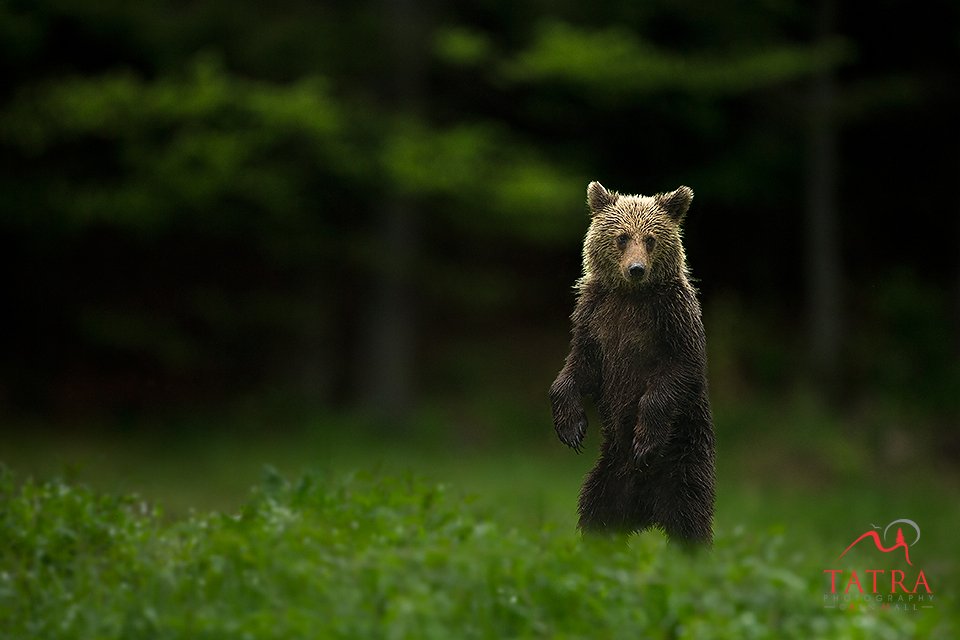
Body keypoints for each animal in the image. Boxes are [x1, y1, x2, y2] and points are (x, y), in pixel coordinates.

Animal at [549, 181, 715, 546]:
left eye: (650, 238)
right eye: (622, 237)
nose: (636, 269)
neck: (631, 296)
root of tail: (646, 511)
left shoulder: (672, 318)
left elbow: (677, 372)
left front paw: (644, 439)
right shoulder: (594, 317)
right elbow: (578, 368)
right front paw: (571, 428)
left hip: (684, 462)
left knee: (690, 518)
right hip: (606, 477)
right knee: (596, 514)